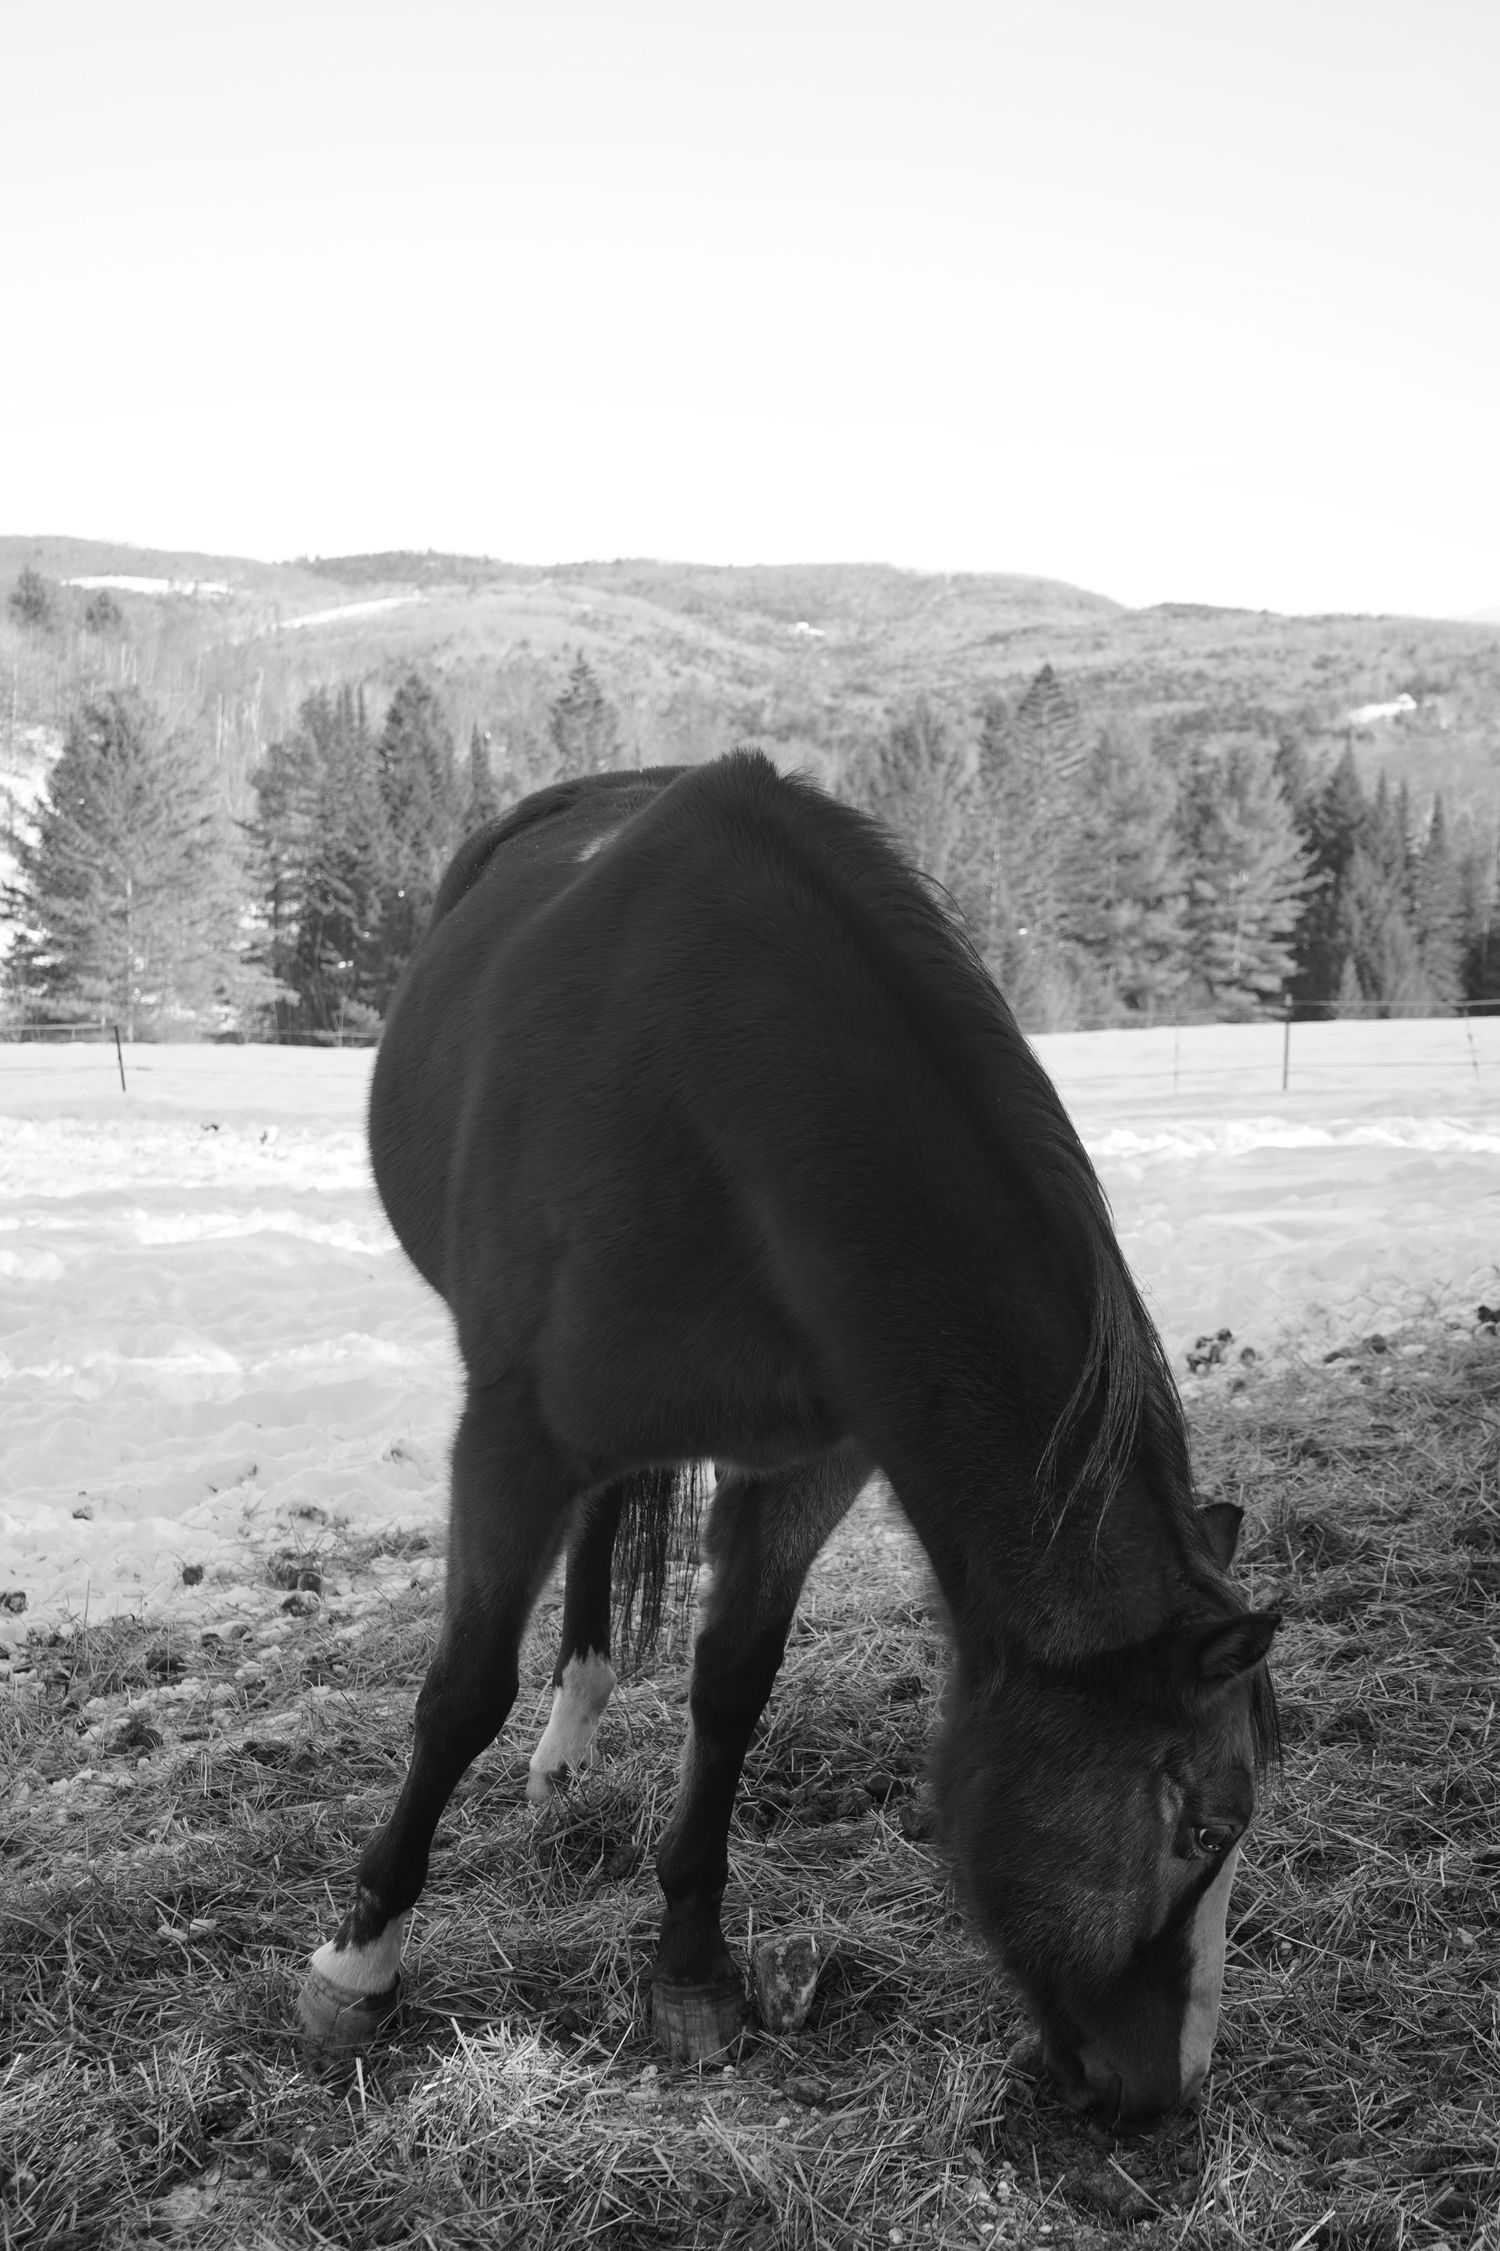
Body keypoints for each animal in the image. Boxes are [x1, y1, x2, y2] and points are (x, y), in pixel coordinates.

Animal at [298, 750, 1279, 2122]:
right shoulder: (514, 1439)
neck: (732, 1106)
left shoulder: (812, 1461)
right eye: (1206, 1827)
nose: (1167, 2091)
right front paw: (359, 1962)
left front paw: (692, 1978)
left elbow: (731, 1695)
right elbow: (460, 1695)